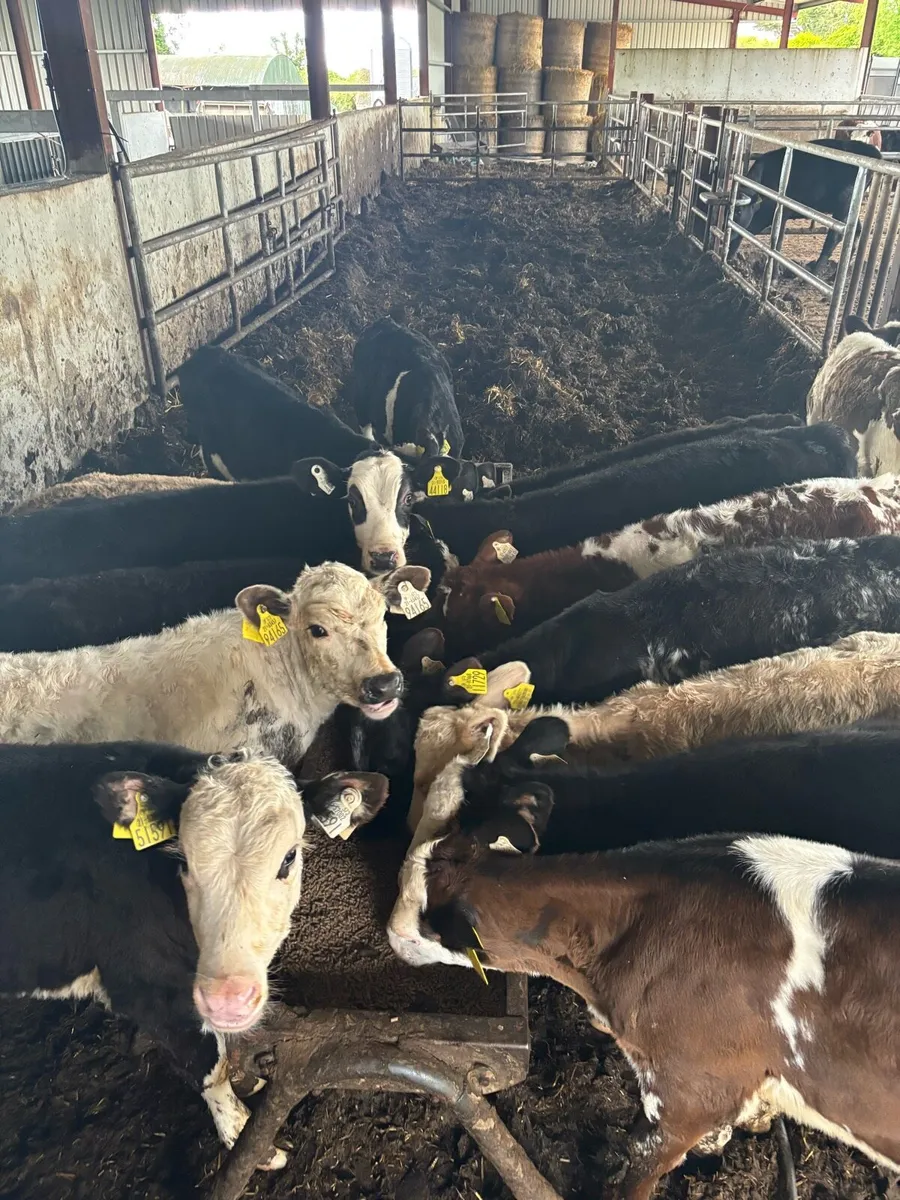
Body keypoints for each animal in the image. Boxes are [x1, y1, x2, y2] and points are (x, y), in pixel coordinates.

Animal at [0, 740, 387, 1168]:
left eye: (288, 858)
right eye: (183, 858)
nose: (229, 1000)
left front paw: (249, 1082)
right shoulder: (150, 988)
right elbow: (209, 1069)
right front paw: (248, 1138)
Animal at [730, 138, 882, 276]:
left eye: (738, 211)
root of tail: (870, 149)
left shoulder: (781, 212)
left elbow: (776, 242)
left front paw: (774, 275)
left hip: (845, 204)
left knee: (834, 237)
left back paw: (815, 272)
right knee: (857, 232)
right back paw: (836, 274)